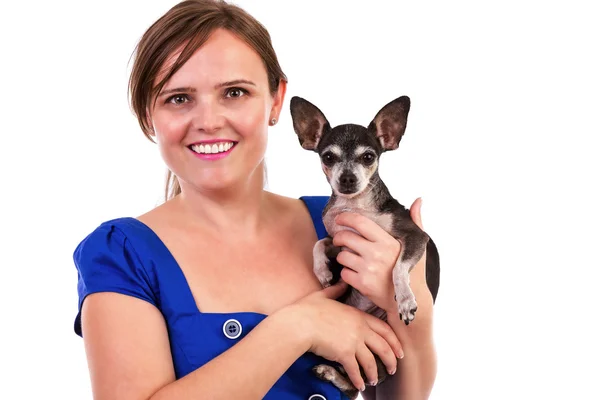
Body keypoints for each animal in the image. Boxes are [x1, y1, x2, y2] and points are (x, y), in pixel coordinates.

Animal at [290, 95, 440, 398]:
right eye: (328, 157)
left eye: (368, 157)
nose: (347, 178)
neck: (355, 207)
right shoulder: (340, 241)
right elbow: (319, 242)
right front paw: (323, 271)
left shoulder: (415, 236)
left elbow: (398, 268)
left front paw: (405, 299)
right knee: (356, 382)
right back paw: (329, 373)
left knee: (367, 381)